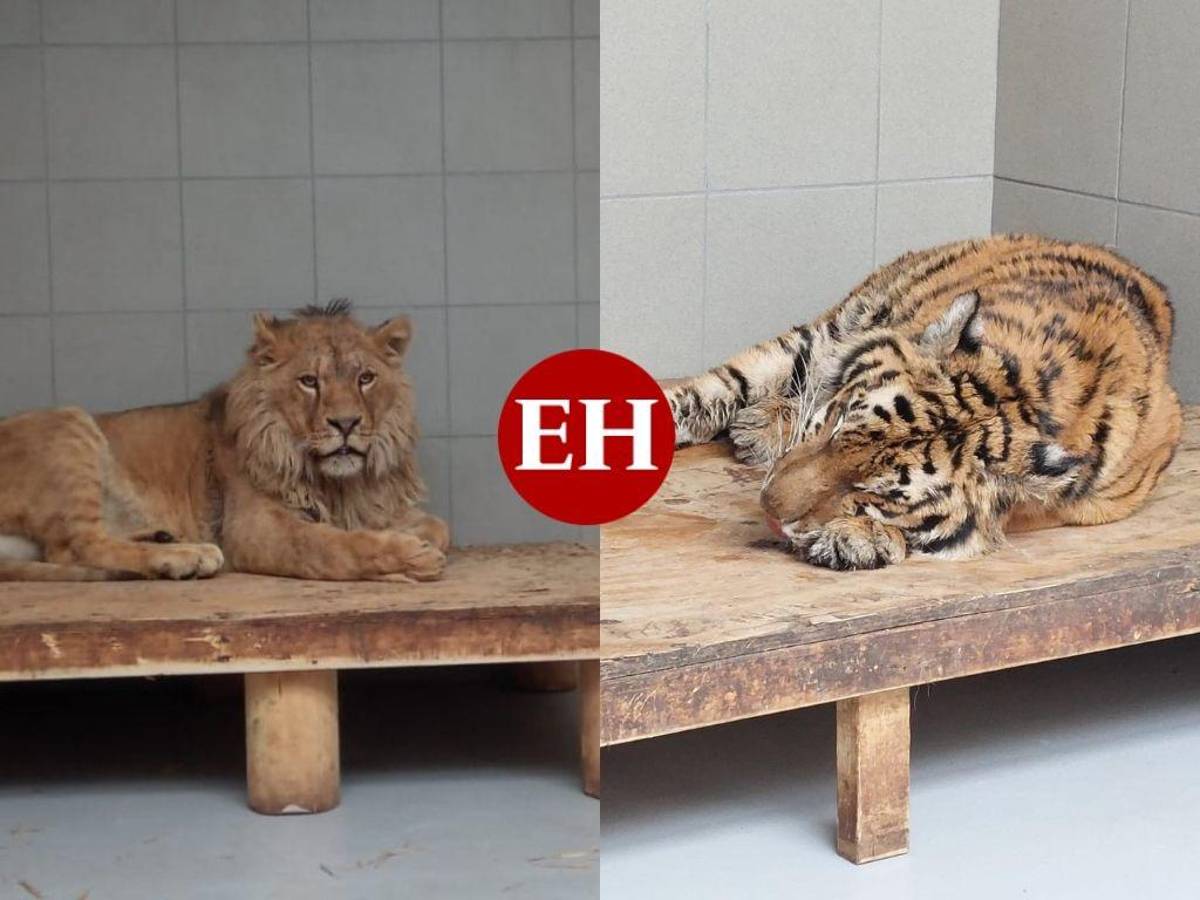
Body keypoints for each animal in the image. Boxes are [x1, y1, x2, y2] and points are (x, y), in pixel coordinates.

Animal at [0, 300, 448, 582]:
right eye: (309, 381)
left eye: (365, 378)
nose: (346, 423)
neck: (338, 484)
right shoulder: (253, 527)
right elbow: (327, 547)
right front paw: (410, 557)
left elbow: (439, 526)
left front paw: (421, 539)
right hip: (69, 423)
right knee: (75, 546)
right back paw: (186, 557)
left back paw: (166, 541)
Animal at [667, 234, 1182, 571]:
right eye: (837, 425)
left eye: (872, 490)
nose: (767, 506)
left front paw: (857, 539)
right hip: (830, 331)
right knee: (723, 385)